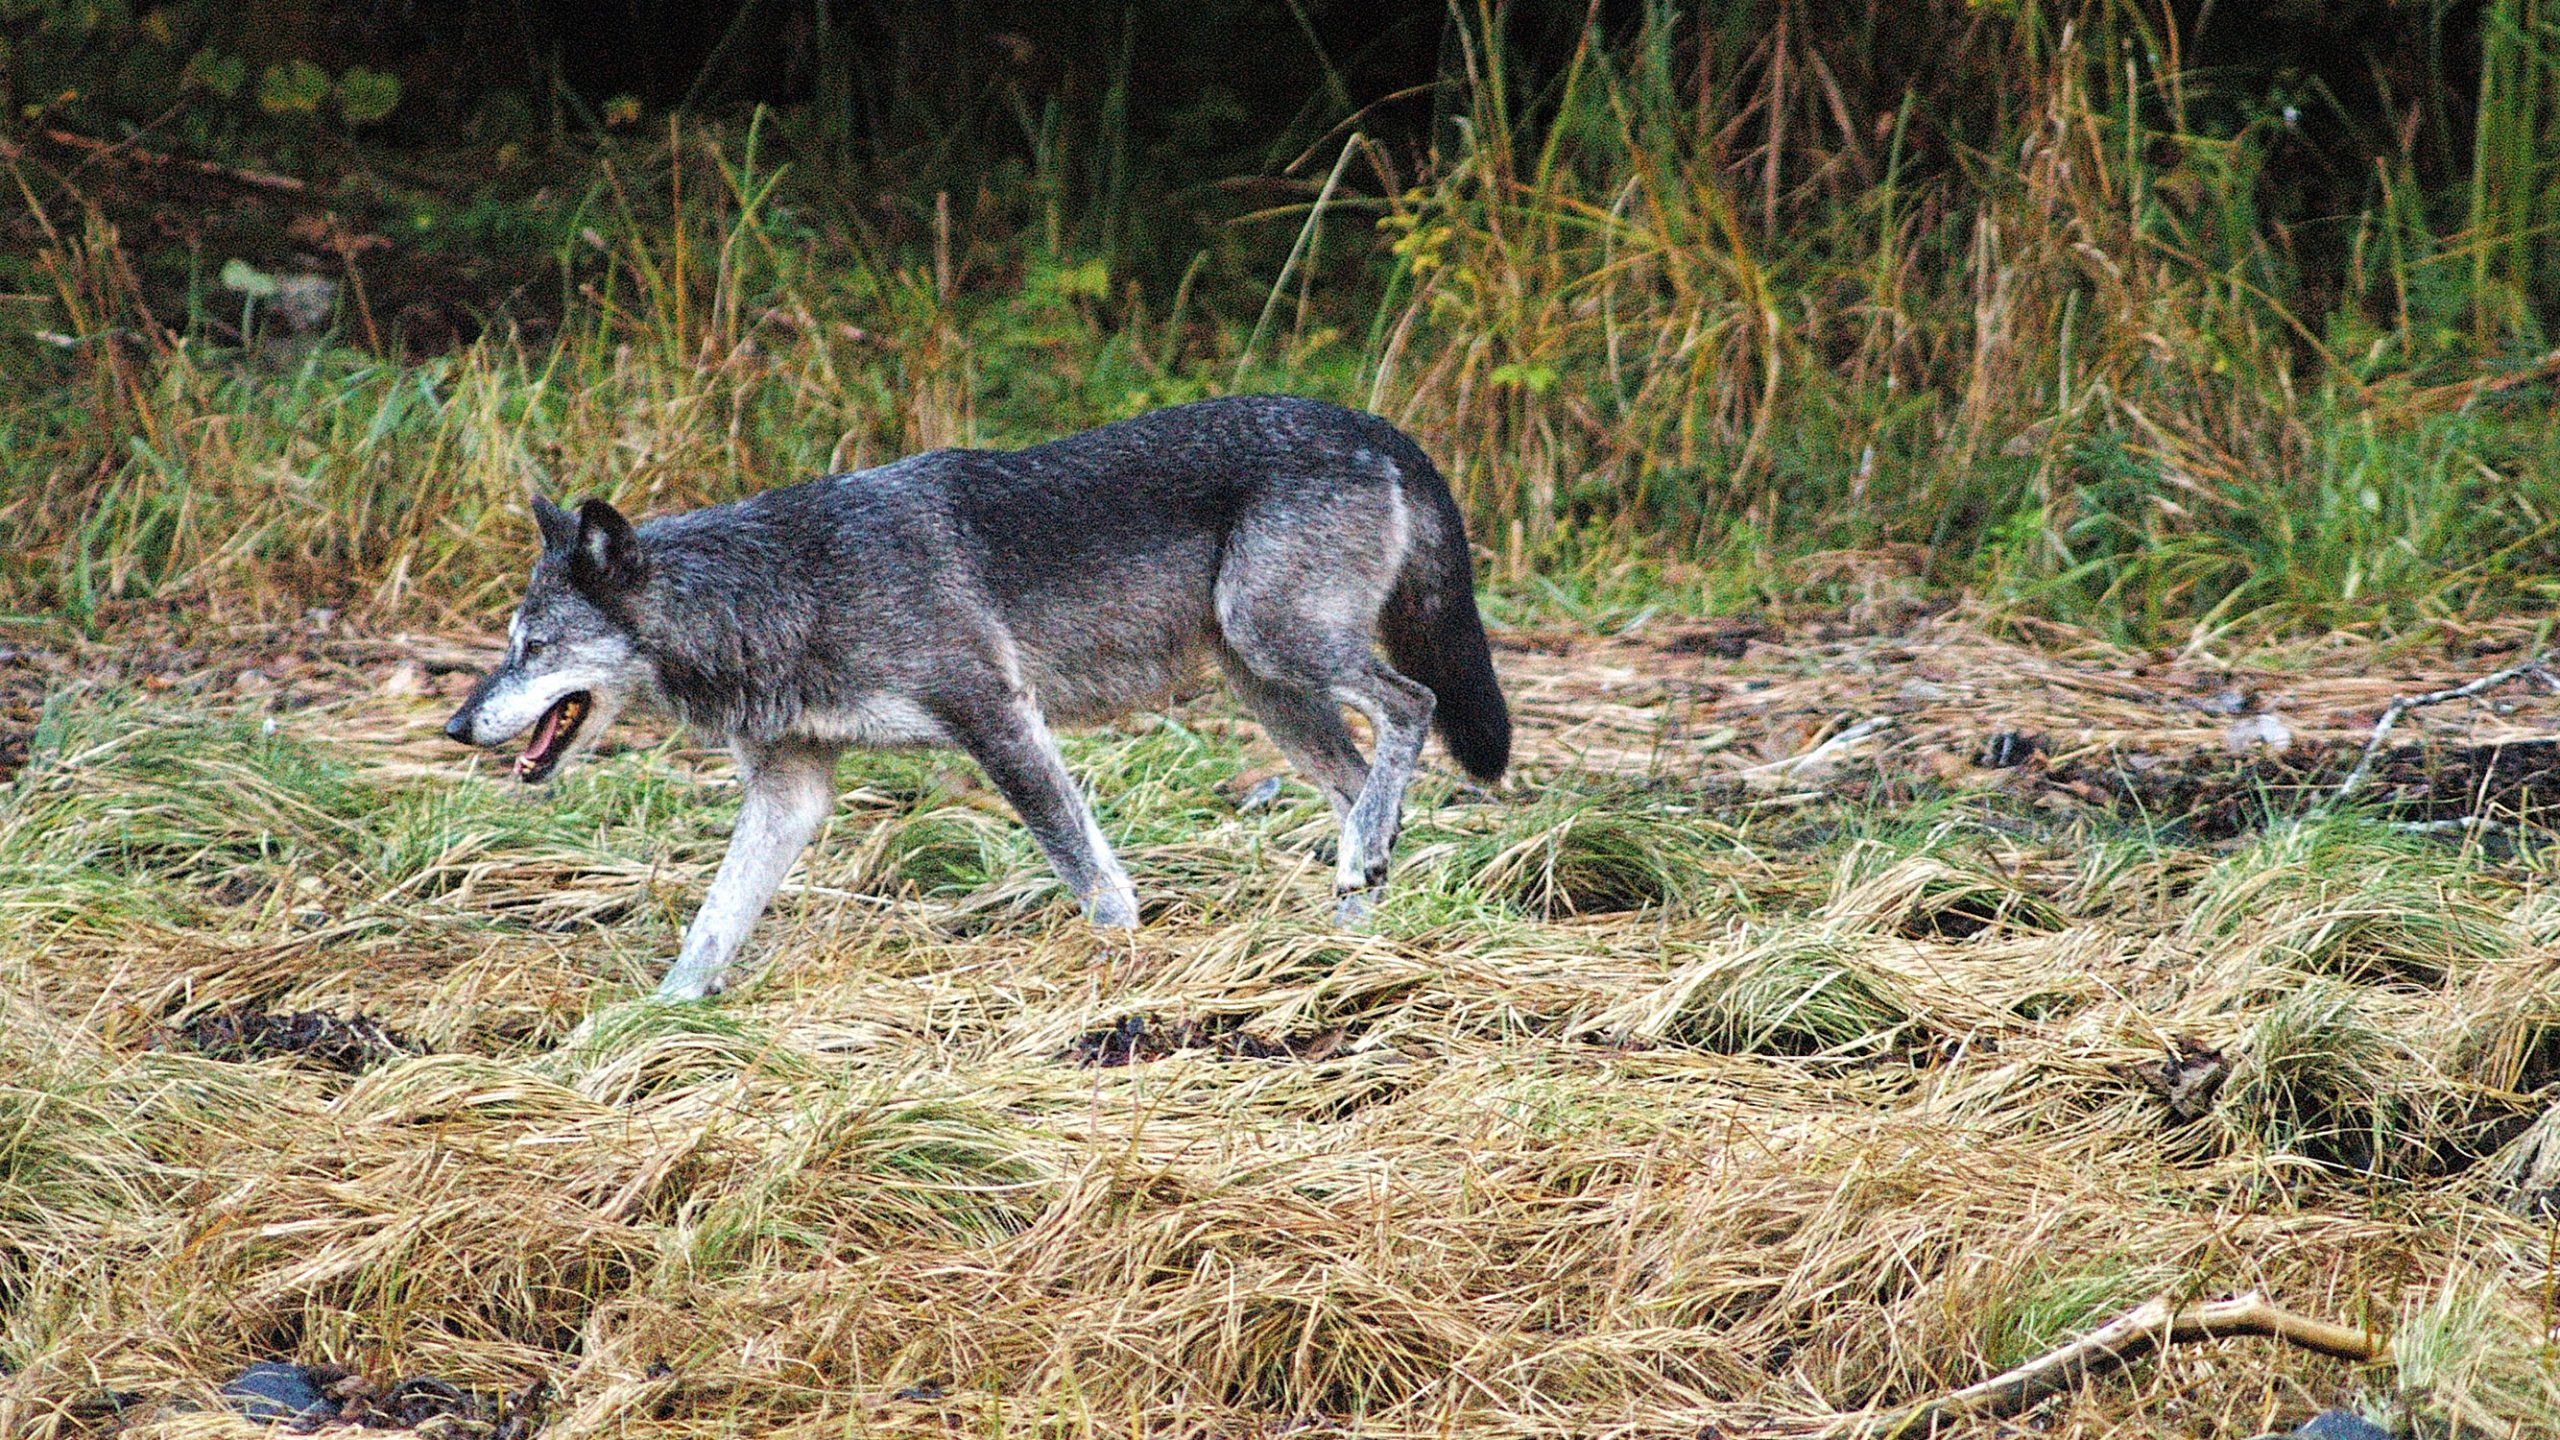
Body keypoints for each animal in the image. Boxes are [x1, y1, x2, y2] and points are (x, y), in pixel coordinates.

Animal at [442, 392, 1505, 999]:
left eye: (533, 648)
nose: (454, 725)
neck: (785, 586)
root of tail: (1377, 428)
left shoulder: (998, 716)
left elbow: (1093, 879)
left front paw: (1123, 975)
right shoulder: (792, 792)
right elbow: (710, 930)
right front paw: (647, 1031)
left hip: (1278, 646)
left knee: (1411, 707)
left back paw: (1356, 885)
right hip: (1271, 688)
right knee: (1365, 791)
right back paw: (1353, 926)